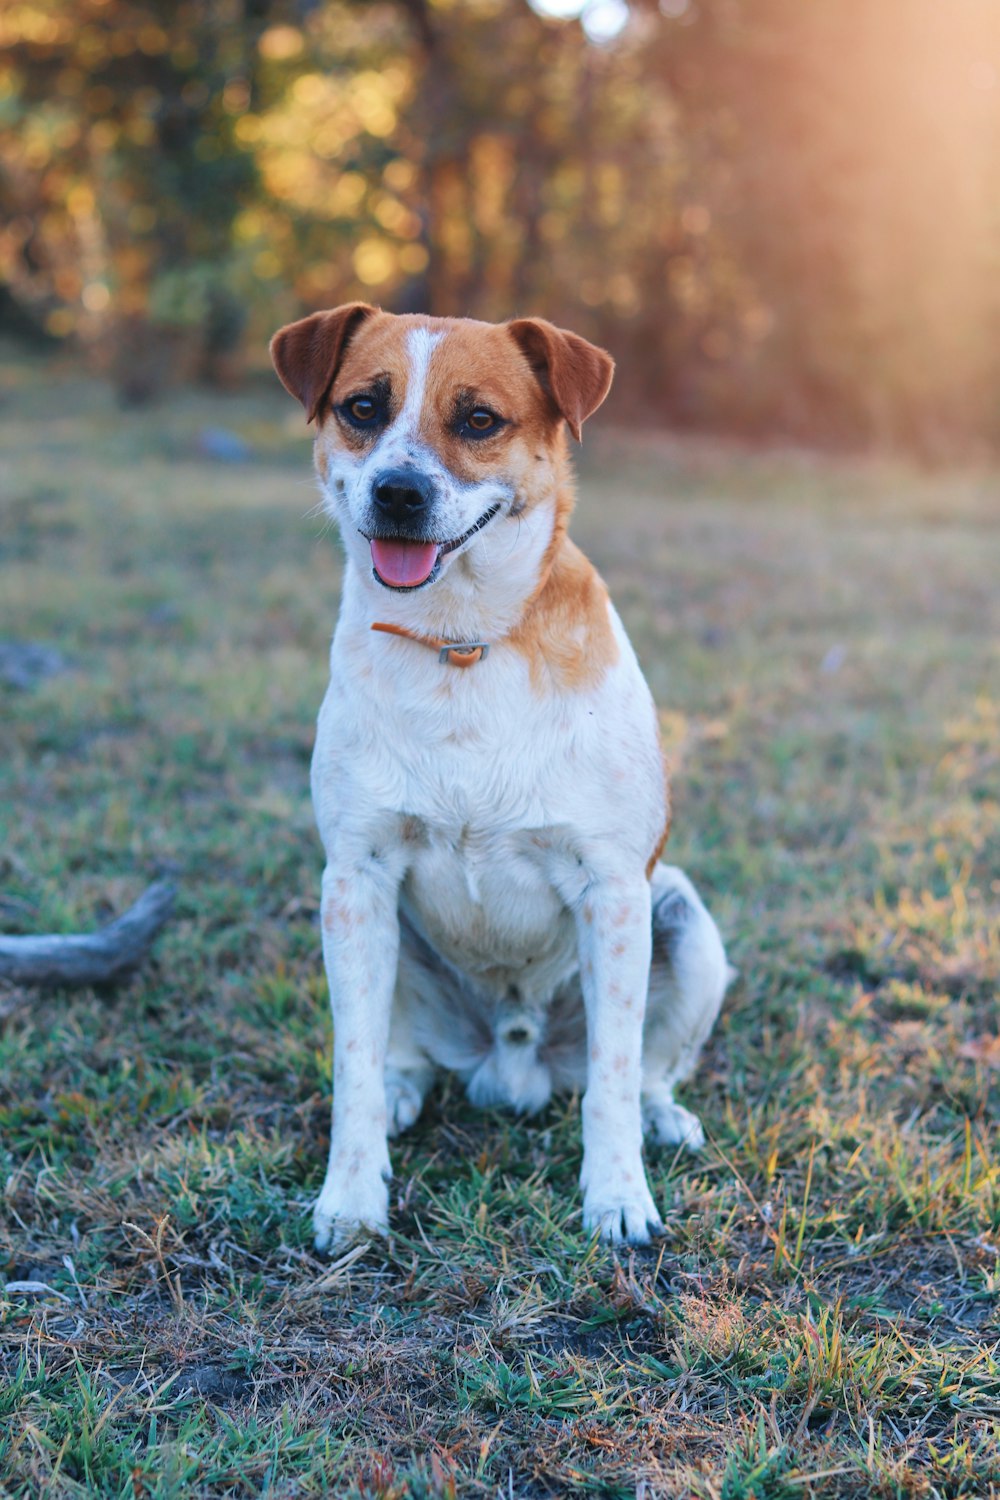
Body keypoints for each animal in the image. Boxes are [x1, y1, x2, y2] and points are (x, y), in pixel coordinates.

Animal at [269, 301, 731, 1242]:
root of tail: (510, 1067)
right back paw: (404, 1094)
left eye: (479, 420)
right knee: (400, 1055)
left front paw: (617, 1197)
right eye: (363, 407)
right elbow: (353, 1064)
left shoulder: (615, 891)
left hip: (685, 921)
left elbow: (613, 1077)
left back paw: (664, 1118)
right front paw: (352, 1198)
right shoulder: (356, 879)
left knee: (645, 1070)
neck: (460, 641)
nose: (398, 493)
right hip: (378, 933)